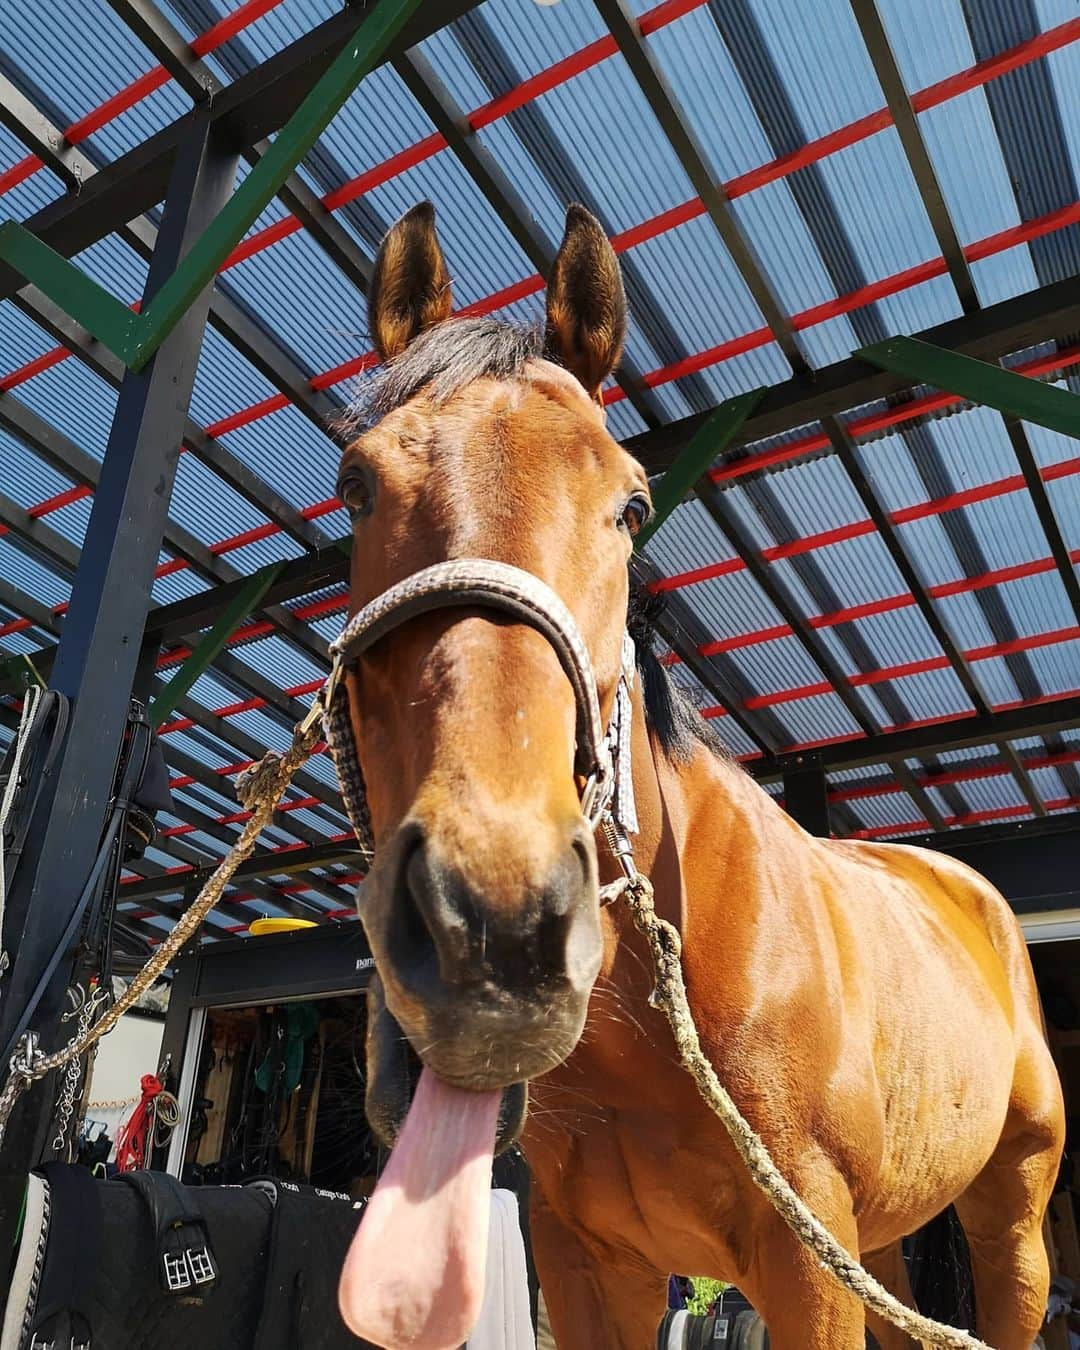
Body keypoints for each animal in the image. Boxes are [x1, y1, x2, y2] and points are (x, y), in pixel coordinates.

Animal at [329, 202, 1063, 1350]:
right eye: (355, 484)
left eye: (632, 507)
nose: (490, 924)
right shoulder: (588, 1265)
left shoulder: (806, 1263)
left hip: (1012, 1218)